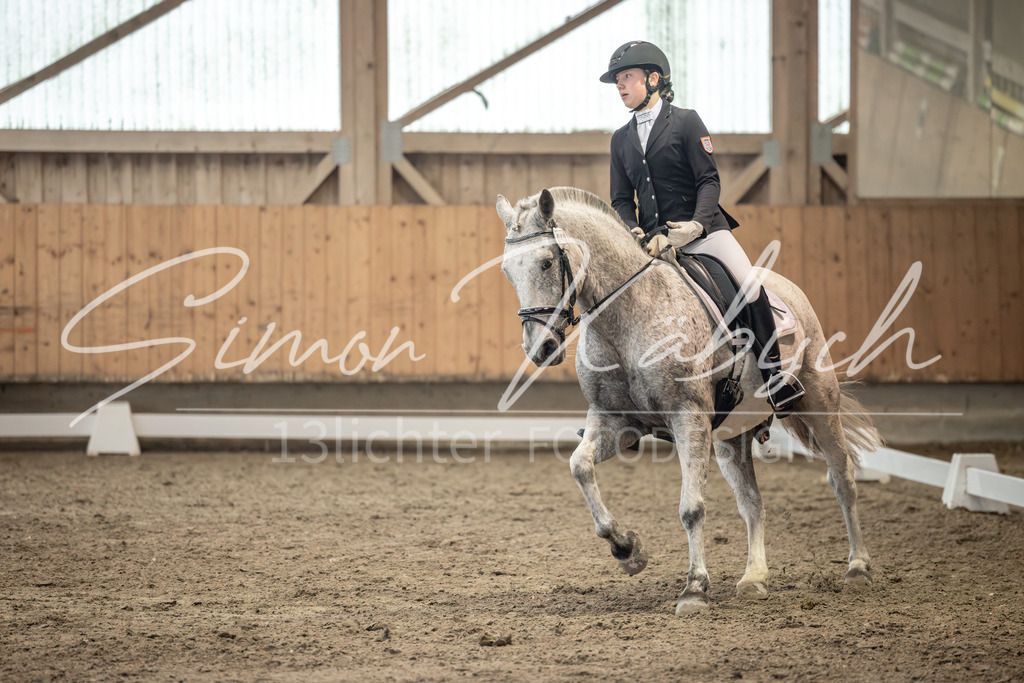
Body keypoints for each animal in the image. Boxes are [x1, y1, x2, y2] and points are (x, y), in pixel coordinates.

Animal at [496, 187, 882, 615]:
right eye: (507, 271)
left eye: (547, 262)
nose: (540, 348)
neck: (626, 317)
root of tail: (787, 287)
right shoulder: (615, 421)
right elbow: (579, 467)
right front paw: (627, 550)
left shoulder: (688, 418)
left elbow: (691, 507)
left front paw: (694, 589)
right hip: (733, 434)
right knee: (752, 502)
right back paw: (754, 579)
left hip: (818, 402)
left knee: (843, 480)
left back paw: (858, 569)